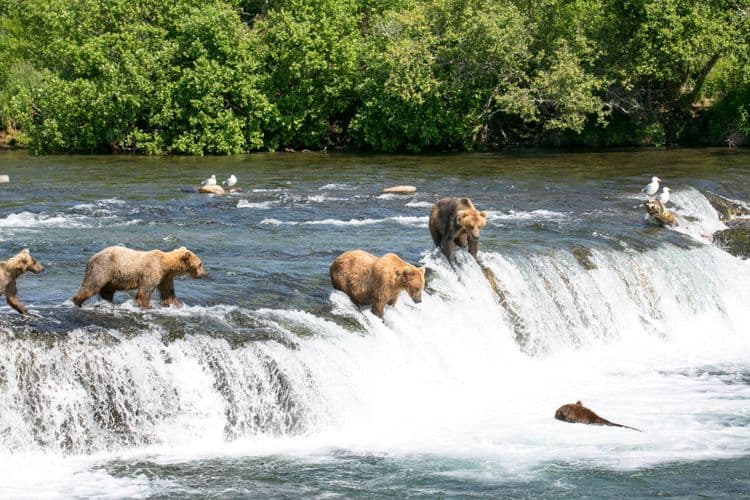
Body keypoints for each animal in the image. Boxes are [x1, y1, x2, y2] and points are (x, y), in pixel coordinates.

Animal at [72, 246, 207, 309]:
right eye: (200, 264)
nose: (205, 274)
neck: (166, 266)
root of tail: (91, 258)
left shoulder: (165, 278)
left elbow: (168, 293)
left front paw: (178, 304)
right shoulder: (152, 271)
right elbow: (144, 291)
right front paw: (146, 305)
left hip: (110, 278)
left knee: (107, 292)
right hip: (103, 268)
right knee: (91, 286)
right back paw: (77, 302)